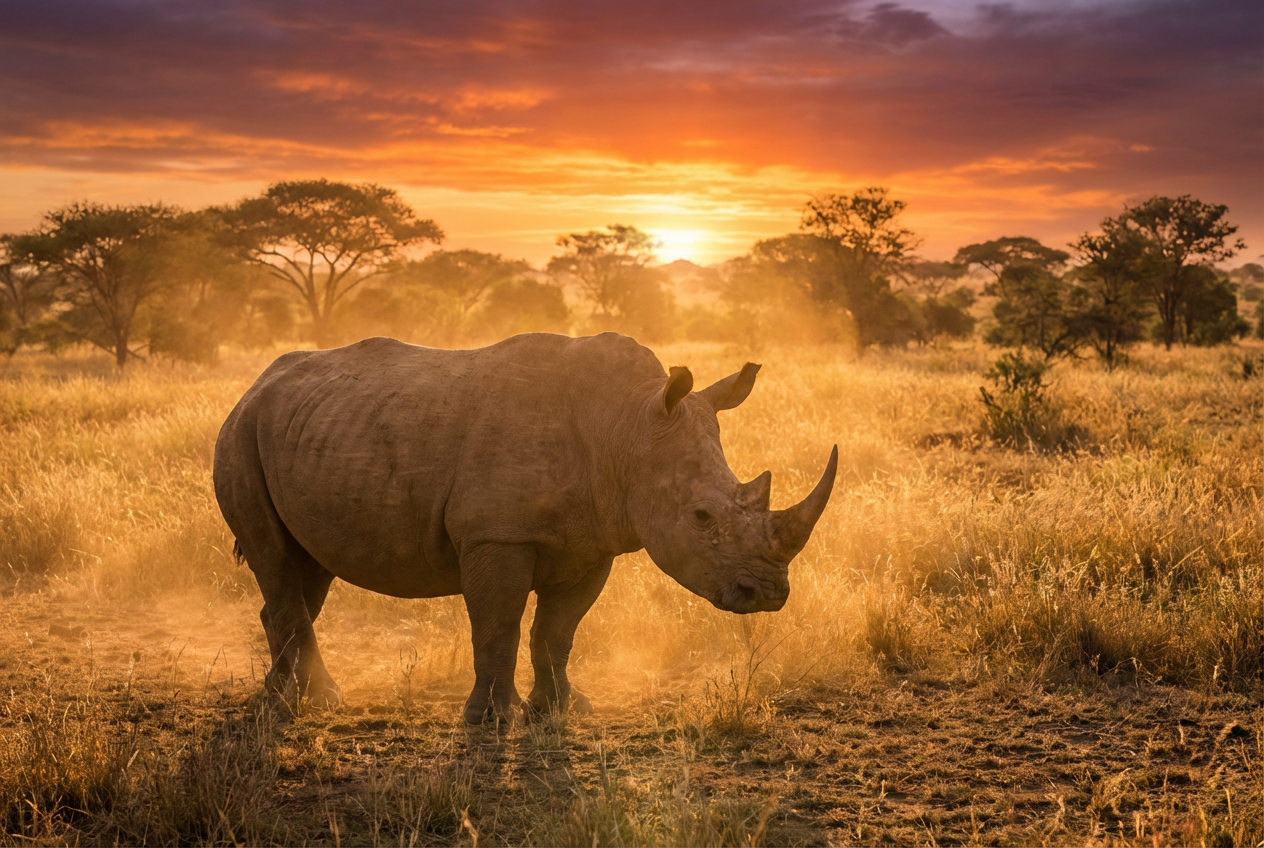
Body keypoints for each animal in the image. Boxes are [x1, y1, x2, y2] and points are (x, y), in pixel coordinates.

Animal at [213, 332, 836, 723]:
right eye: (702, 517)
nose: (768, 594)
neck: (627, 427)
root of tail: (255, 383)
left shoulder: (593, 542)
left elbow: (558, 631)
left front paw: (563, 709)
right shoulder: (497, 533)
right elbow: (499, 624)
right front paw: (489, 719)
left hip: (306, 429)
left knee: (306, 570)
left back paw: (280, 698)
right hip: (241, 433)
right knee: (277, 560)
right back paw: (319, 702)